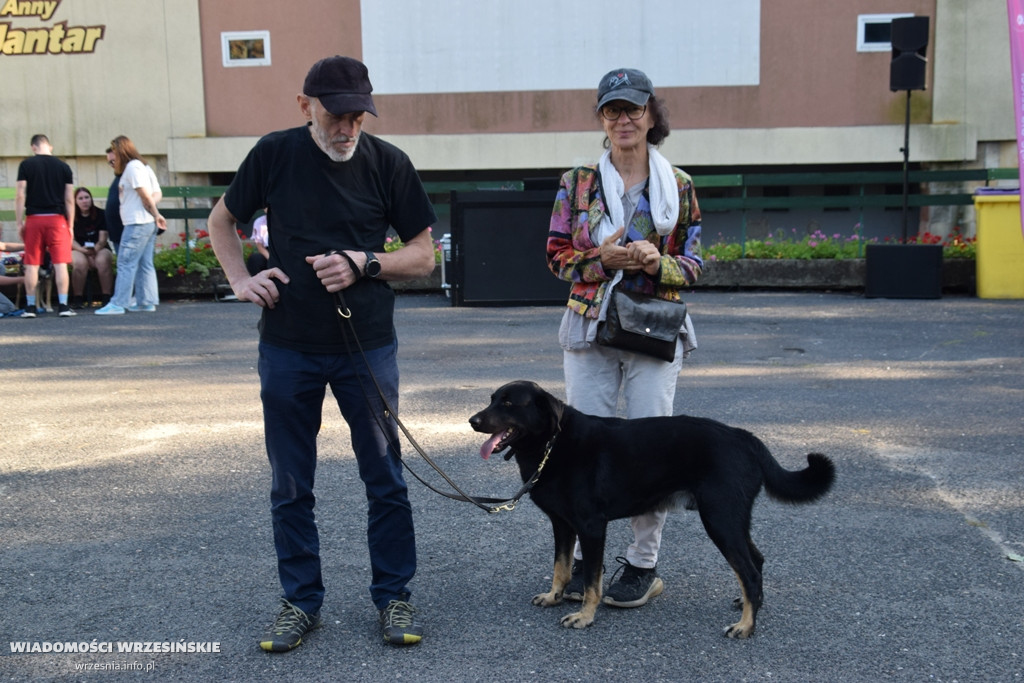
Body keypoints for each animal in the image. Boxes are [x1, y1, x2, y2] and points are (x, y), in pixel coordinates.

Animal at [468, 378, 835, 634]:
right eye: (491, 399)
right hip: (733, 519)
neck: (551, 444)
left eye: (509, 403)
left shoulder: (591, 526)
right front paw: (554, 596)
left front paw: (585, 616)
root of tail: (746, 437)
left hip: (720, 520)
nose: (472, 420)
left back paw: (747, 626)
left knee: (749, 570)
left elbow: (591, 582)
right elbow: (561, 567)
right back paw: (749, 604)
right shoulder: (563, 525)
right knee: (756, 561)